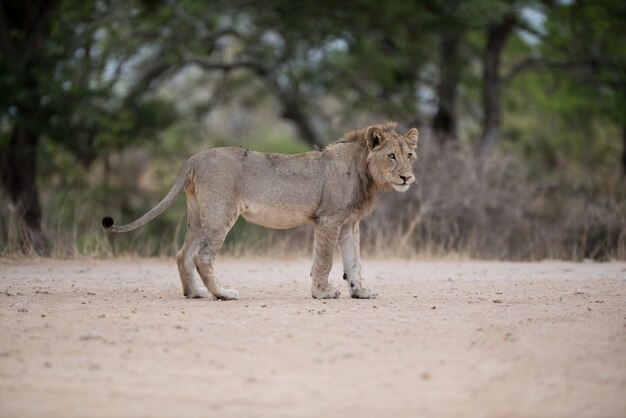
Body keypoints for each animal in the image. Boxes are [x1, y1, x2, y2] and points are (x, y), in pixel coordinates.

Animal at [102, 121, 416, 300]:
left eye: (410, 155)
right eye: (391, 156)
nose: (407, 177)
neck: (365, 170)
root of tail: (194, 158)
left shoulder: (350, 224)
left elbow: (354, 261)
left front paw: (360, 291)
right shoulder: (328, 219)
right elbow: (325, 260)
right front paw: (322, 293)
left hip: (198, 217)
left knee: (183, 254)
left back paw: (195, 293)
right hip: (221, 213)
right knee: (203, 257)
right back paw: (222, 293)